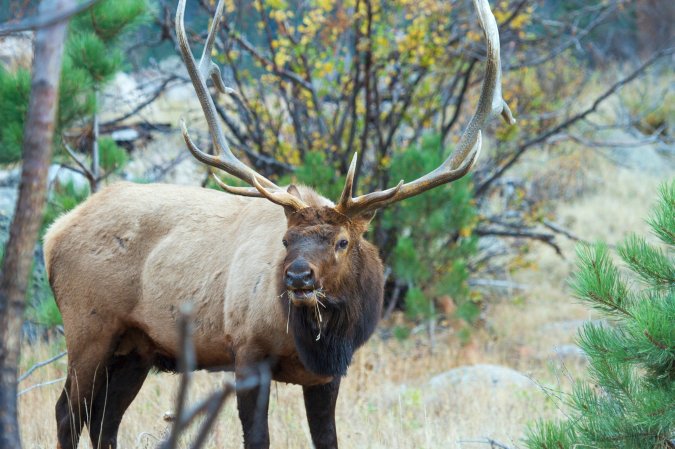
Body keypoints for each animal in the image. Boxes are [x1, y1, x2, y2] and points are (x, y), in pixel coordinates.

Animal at [46, 0, 512, 446]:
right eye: (286, 240)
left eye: (342, 241)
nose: (298, 277)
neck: (313, 343)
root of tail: (54, 232)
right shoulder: (247, 350)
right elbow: (257, 437)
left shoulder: (328, 376)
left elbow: (327, 438)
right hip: (88, 327)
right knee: (68, 412)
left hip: (135, 349)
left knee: (105, 421)